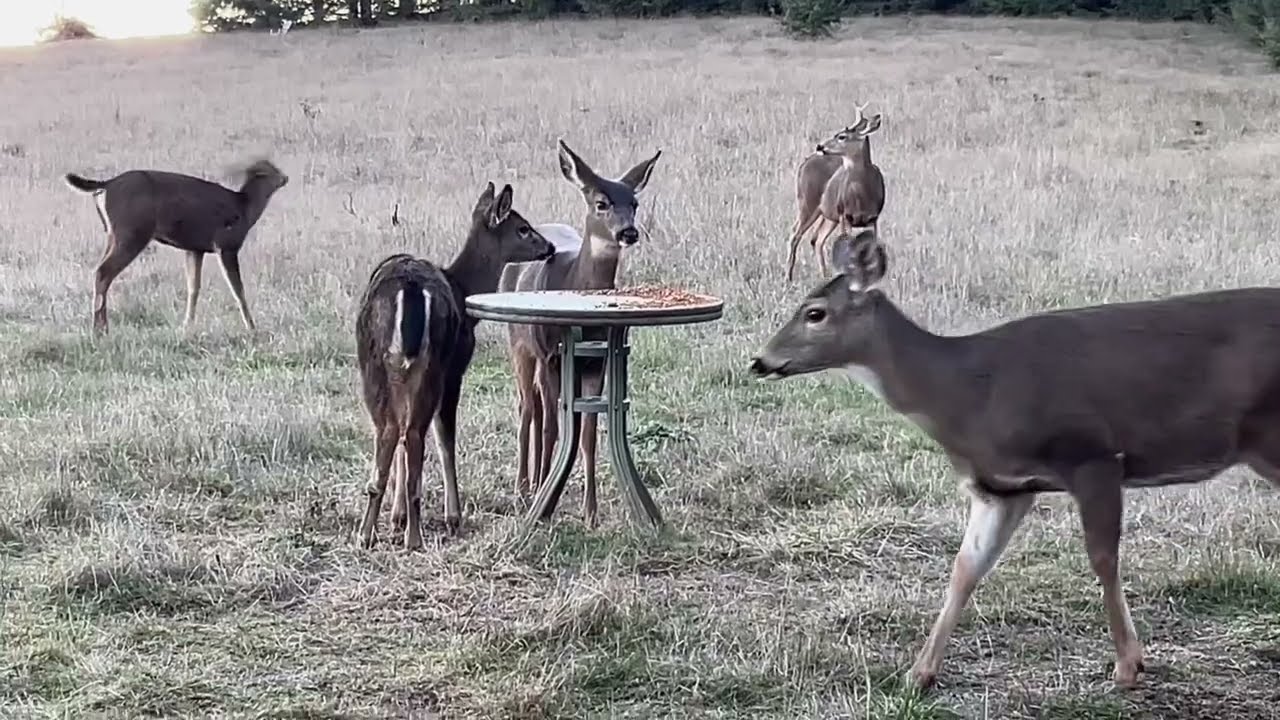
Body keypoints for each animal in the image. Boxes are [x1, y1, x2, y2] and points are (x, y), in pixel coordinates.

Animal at [62, 159, 289, 335]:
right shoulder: (226, 245)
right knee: (103, 272)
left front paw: (186, 326)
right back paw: (100, 329)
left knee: (100, 270)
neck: (245, 209)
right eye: (272, 171)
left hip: (113, 235)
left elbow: (193, 288)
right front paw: (252, 328)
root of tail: (106, 185)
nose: (285, 177)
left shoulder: (195, 249)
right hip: (132, 232)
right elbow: (238, 290)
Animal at [355, 182, 555, 550]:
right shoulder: (456, 369)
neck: (464, 291)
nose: (549, 247)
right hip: (434, 364)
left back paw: (367, 531)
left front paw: (396, 517)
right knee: (415, 432)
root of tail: (410, 289)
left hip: (374, 362)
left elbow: (404, 437)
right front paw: (452, 516)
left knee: (391, 430)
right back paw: (414, 536)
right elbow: (445, 438)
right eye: (522, 227)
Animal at [500, 139, 662, 528]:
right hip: (519, 346)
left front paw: (590, 512)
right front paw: (544, 499)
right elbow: (554, 428)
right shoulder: (550, 356)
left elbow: (587, 433)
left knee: (540, 408)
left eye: (634, 203)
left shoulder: (595, 363)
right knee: (528, 408)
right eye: (601, 203)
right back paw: (525, 486)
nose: (628, 232)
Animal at [750, 229, 1280, 691]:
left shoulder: (1092, 455)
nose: (760, 361)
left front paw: (1129, 666)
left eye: (815, 312)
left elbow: (1102, 557)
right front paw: (919, 674)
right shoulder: (1002, 488)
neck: (968, 391)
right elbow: (965, 568)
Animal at [784, 103, 885, 282]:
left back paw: (825, 275)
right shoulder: (846, 215)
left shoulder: (873, 217)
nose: (820, 146)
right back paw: (788, 277)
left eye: (842, 136)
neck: (863, 194)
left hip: (828, 215)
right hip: (808, 202)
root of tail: (804, 164)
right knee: (795, 234)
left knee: (816, 239)